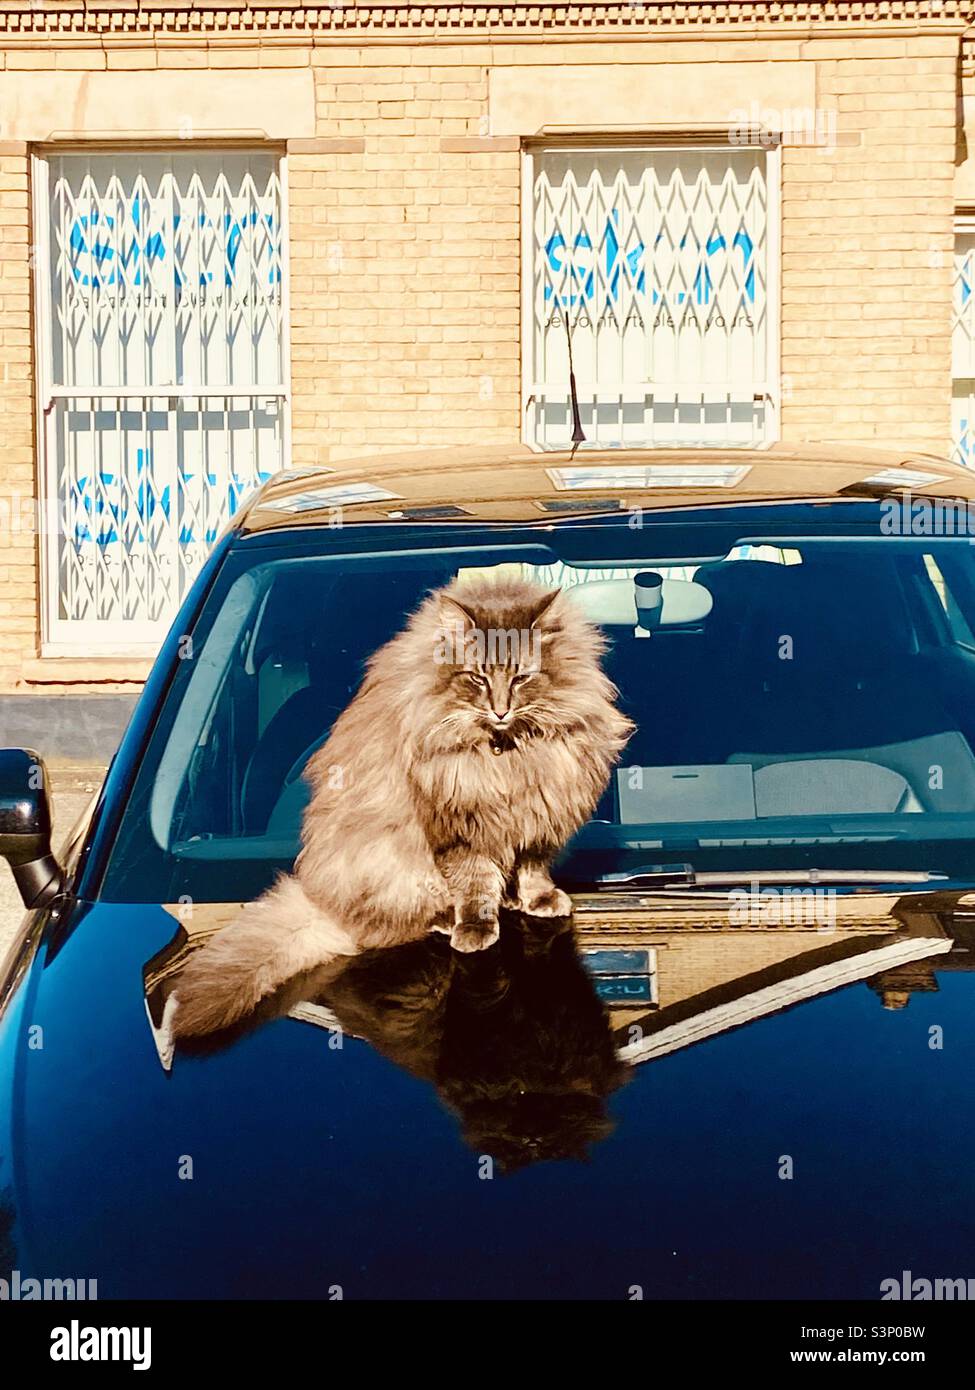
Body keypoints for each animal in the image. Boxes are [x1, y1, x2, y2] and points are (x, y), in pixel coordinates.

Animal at [170, 569, 631, 1039]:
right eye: (478, 679)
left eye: (520, 678)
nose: (500, 711)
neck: (509, 751)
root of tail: (322, 901)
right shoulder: (461, 829)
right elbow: (475, 884)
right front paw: (476, 928)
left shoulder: (539, 820)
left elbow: (533, 870)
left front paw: (538, 901)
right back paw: (447, 920)